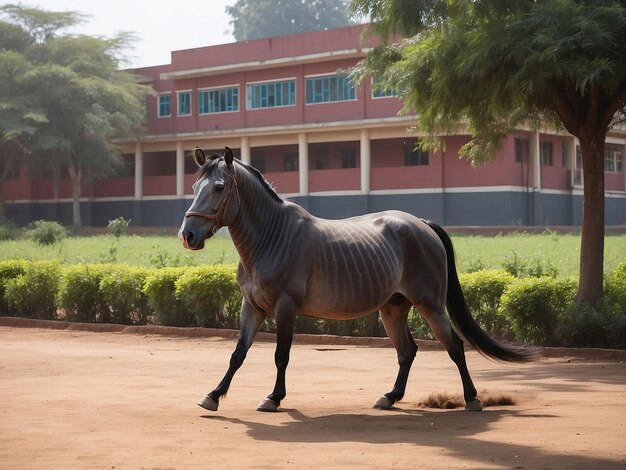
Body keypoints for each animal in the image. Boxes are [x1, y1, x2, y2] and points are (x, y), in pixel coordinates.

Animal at [179, 146, 532, 412]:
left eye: (219, 188)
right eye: (195, 188)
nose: (188, 235)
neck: (272, 237)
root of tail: (421, 224)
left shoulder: (285, 307)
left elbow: (281, 355)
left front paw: (273, 398)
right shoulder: (251, 307)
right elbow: (238, 354)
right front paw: (212, 396)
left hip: (430, 304)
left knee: (455, 346)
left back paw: (471, 398)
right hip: (393, 307)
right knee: (407, 351)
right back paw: (390, 397)